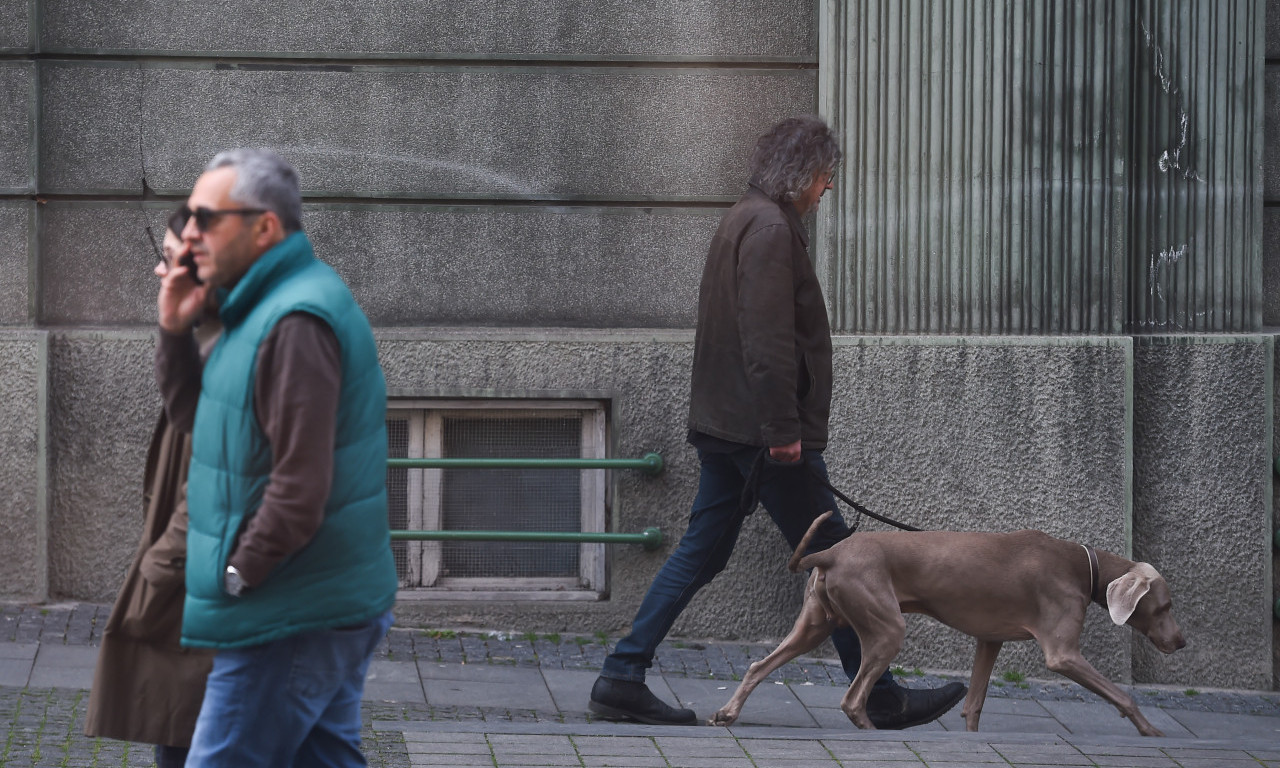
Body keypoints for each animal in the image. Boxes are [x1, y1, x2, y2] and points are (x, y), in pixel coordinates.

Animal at [706, 512, 1182, 737]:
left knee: (758, 666)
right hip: (887, 628)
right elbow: (1122, 695)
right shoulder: (1062, 654)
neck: (1083, 566)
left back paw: (728, 713)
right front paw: (1150, 729)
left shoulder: (989, 640)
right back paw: (873, 732)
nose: (1181, 641)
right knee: (852, 697)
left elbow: (974, 703)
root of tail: (831, 552)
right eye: (1165, 605)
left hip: (816, 624)